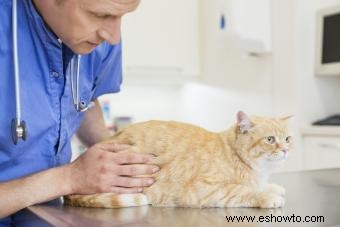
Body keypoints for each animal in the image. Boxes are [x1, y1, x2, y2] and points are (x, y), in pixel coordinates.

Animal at [64, 111, 292, 208]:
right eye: (270, 140)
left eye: (288, 139)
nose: (285, 150)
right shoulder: (206, 190)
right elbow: (244, 191)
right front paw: (267, 197)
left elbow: (259, 186)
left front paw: (272, 187)